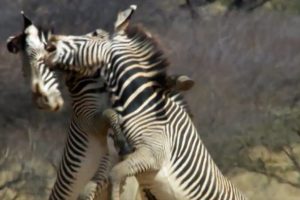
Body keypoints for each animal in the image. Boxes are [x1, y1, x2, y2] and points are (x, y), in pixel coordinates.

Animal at [7, 11, 195, 200]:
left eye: (43, 58)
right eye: (24, 71)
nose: (43, 102)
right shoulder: (91, 123)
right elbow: (110, 114)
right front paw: (122, 142)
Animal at [44, 4, 246, 200]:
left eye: (93, 34)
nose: (50, 43)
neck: (141, 105)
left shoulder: (153, 153)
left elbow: (115, 175)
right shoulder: (115, 157)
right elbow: (92, 187)